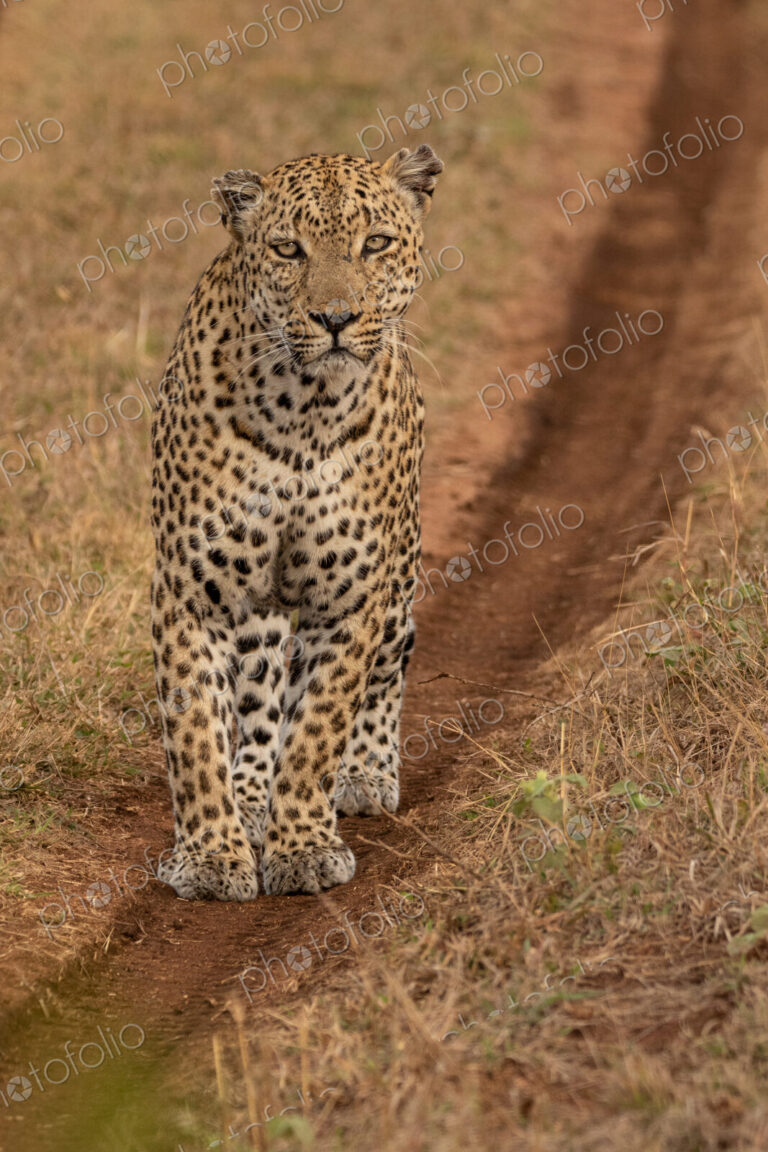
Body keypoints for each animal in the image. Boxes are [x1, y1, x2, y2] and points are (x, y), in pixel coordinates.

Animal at [150, 145, 443, 901]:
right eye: (288, 249)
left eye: (375, 243)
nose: (335, 317)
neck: (301, 409)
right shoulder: (191, 592)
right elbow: (196, 735)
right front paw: (211, 855)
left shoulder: (349, 601)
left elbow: (316, 730)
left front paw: (305, 846)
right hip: (254, 610)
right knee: (256, 700)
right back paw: (251, 799)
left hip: (396, 579)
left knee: (390, 664)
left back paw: (366, 775)